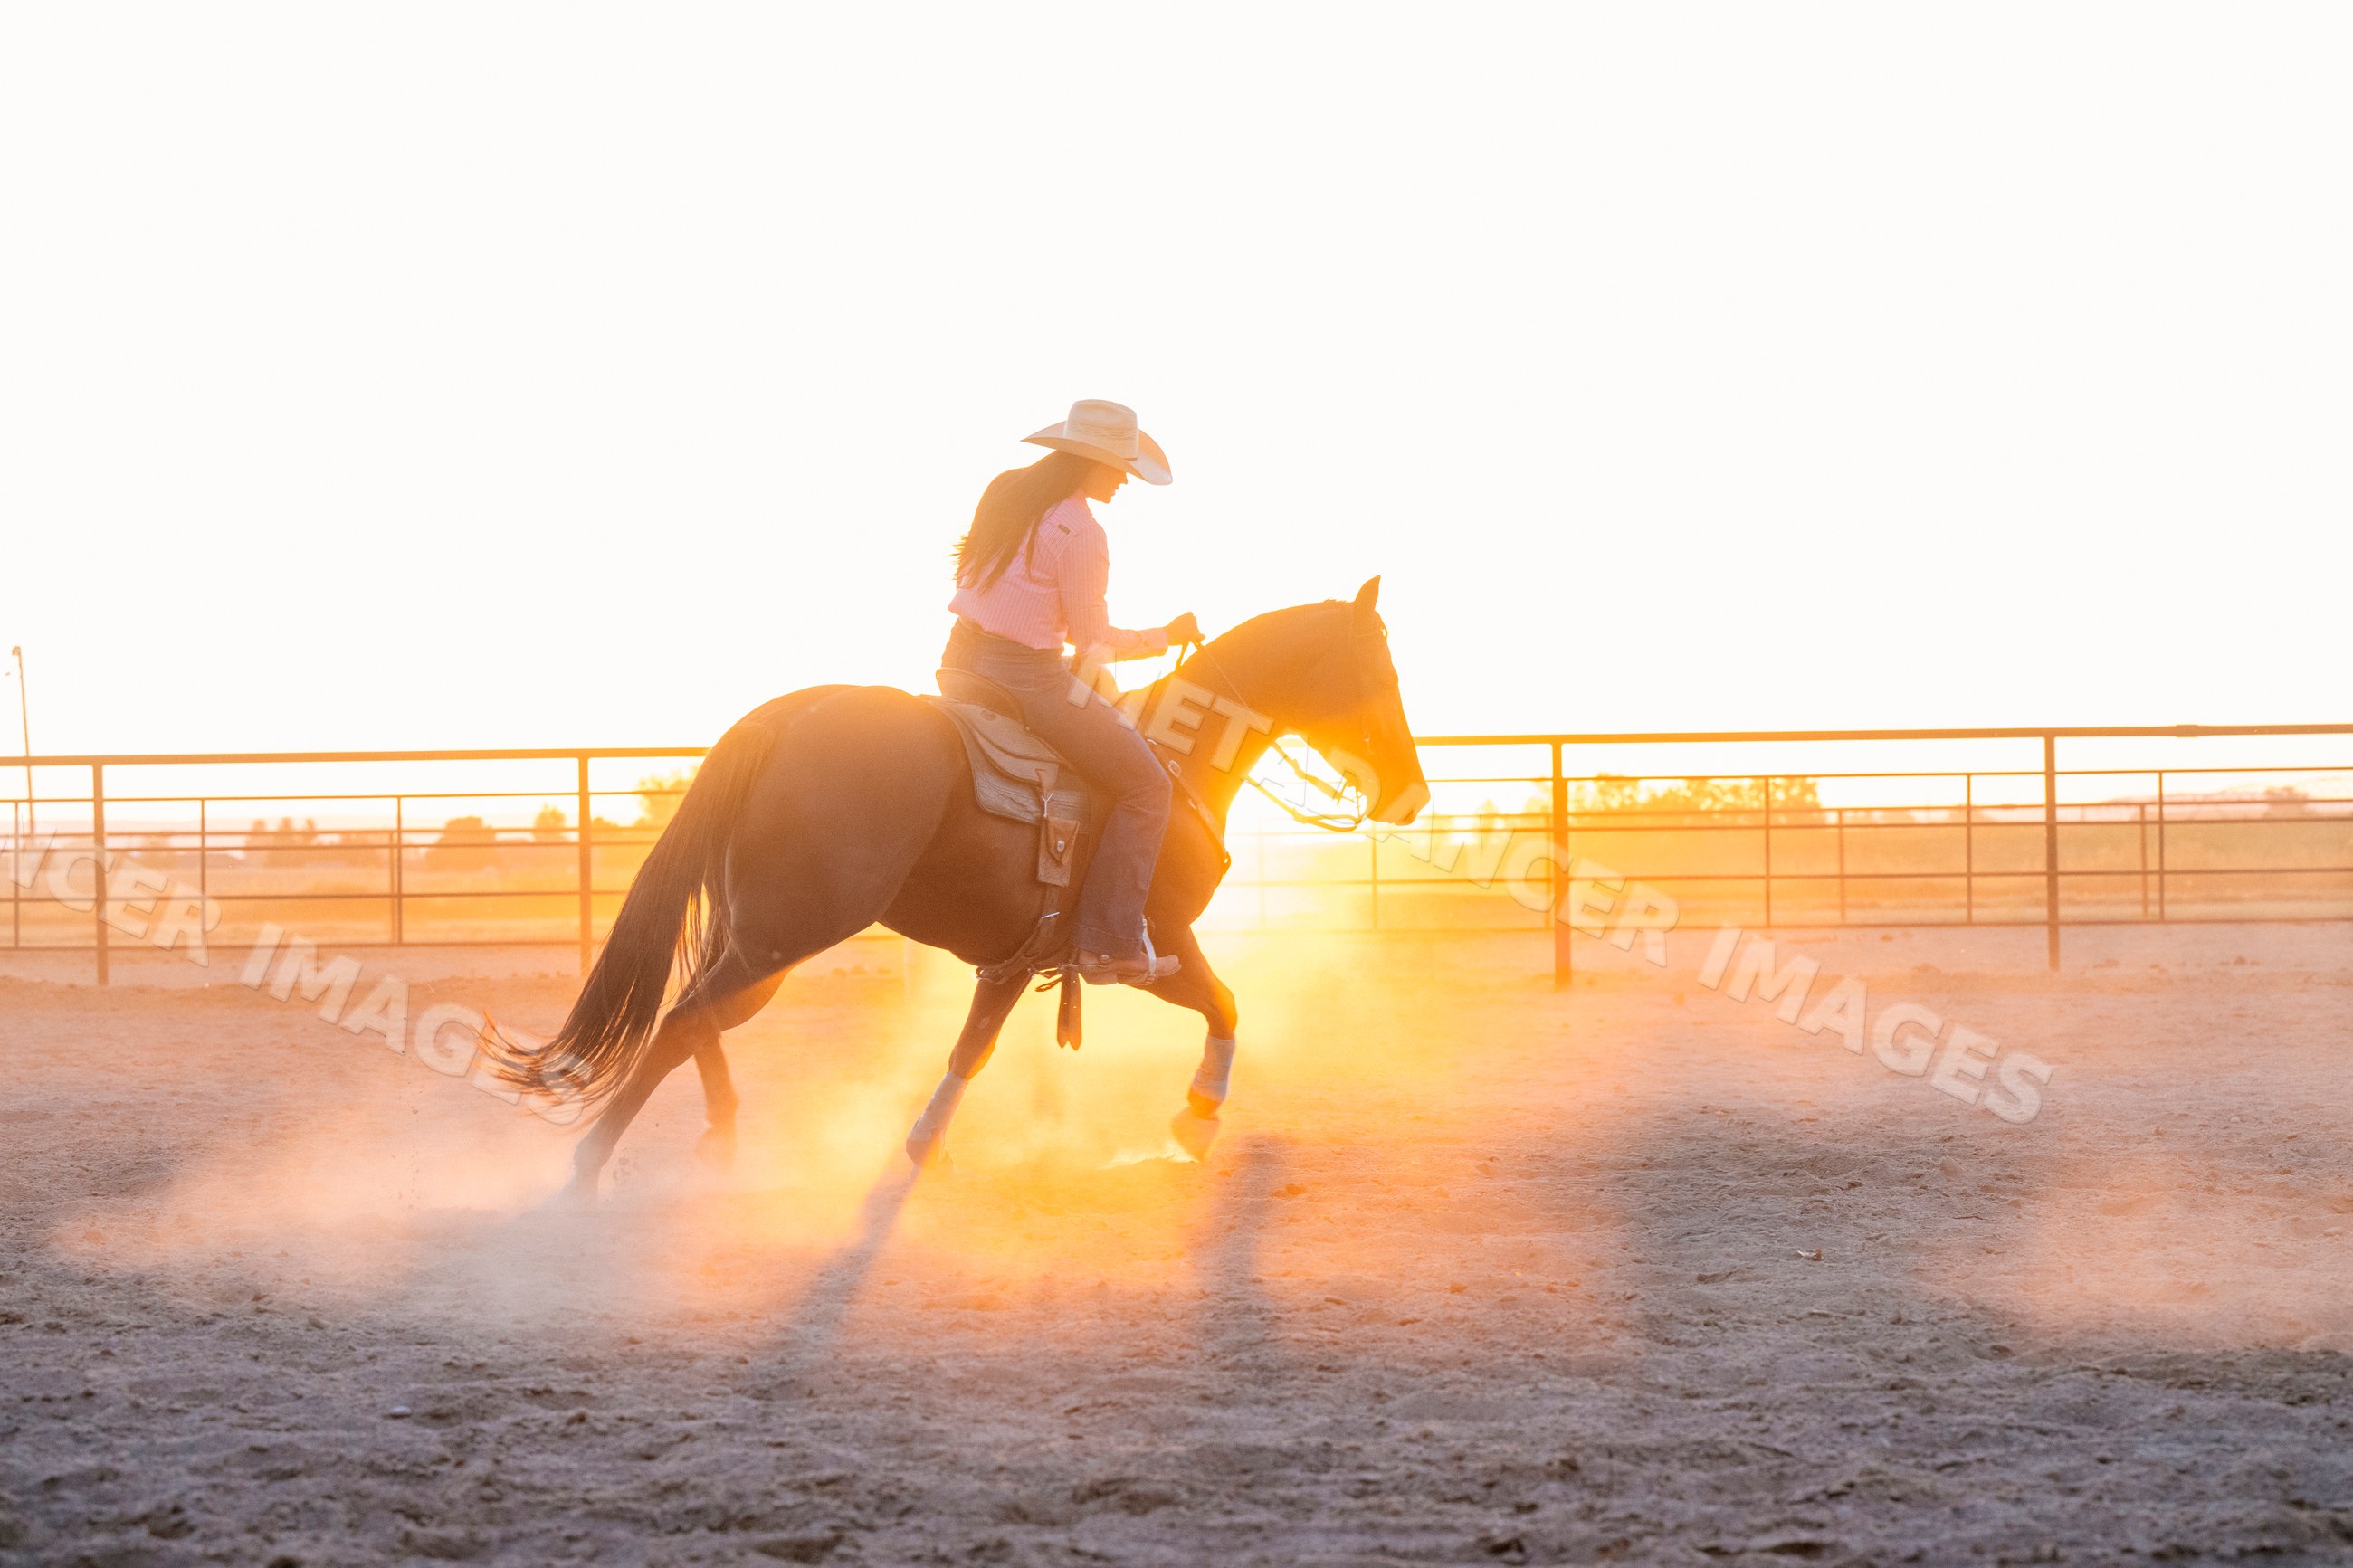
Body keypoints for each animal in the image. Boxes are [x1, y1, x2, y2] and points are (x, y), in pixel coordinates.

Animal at [489, 577, 1427, 1204]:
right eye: (1380, 674)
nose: (1412, 795)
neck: (1174, 756)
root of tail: (791, 716)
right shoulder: (1150, 939)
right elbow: (1225, 1001)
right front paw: (1197, 1118)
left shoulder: (1019, 954)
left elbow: (973, 1044)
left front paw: (924, 1144)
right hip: (788, 932)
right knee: (687, 1019)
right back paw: (587, 1171)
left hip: (759, 938)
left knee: (697, 1016)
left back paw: (719, 1138)